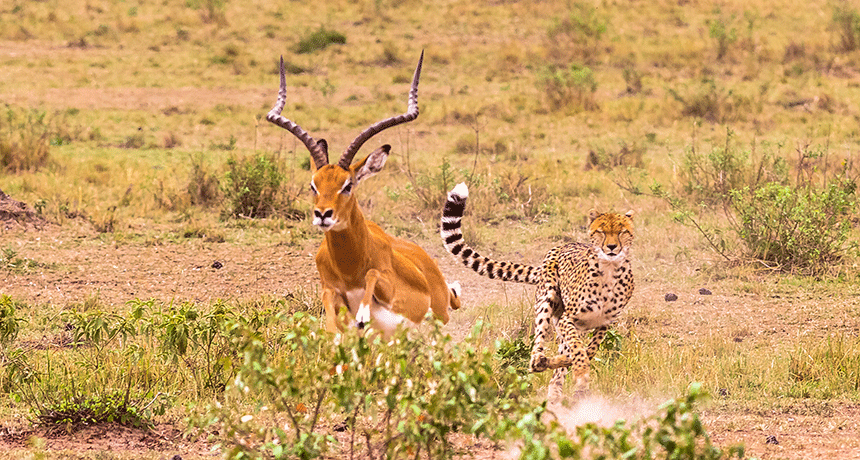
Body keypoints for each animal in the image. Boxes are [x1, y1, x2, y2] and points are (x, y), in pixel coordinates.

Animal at [440, 182, 634, 402]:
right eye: (601, 231)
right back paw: (542, 363)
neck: (609, 271)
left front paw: (575, 367)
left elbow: (589, 349)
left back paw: (555, 388)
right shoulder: (568, 319)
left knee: (556, 371)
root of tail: (560, 246)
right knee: (535, 353)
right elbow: (578, 349)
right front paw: (581, 371)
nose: (611, 247)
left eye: (622, 232)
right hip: (547, 301)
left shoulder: (605, 324)